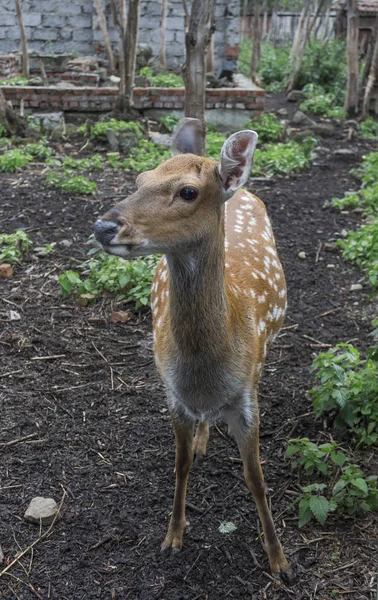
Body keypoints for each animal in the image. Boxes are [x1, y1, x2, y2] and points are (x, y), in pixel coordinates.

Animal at [93, 118, 290, 580]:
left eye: (187, 192)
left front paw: (280, 560)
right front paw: (172, 536)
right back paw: (202, 440)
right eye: (139, 179)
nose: (103, 227)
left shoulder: (247, 397)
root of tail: (241, 191)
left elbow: (257, 478)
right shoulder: (174, 395)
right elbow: (179, 464)